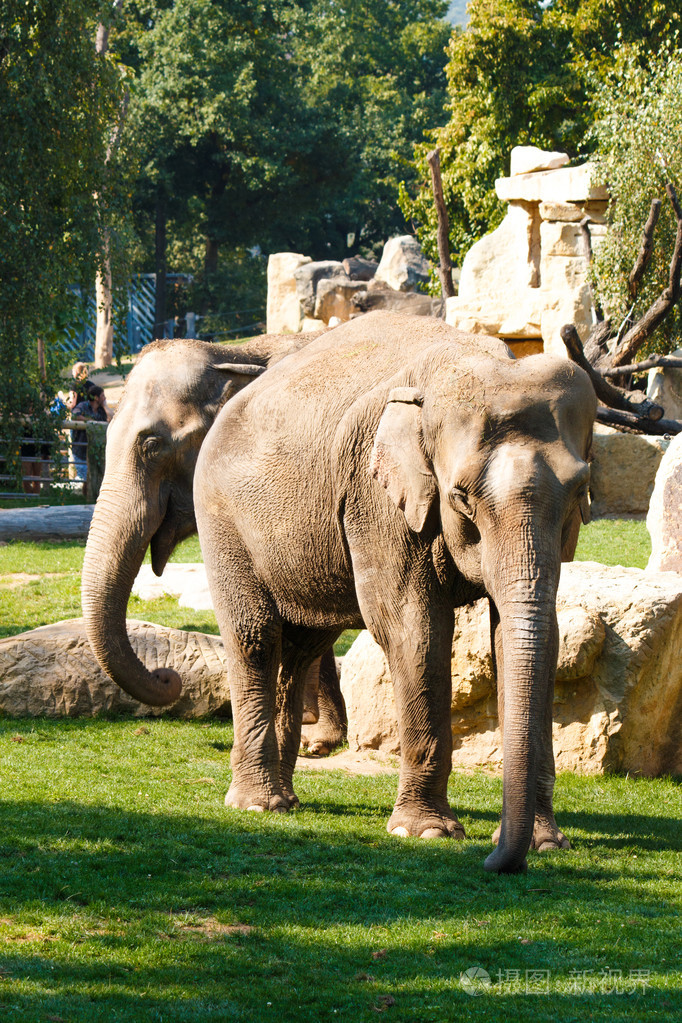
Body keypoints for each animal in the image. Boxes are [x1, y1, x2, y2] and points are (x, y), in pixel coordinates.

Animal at [191, 311, 596, 874]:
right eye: (460, 497)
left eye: (580, 491)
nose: (493, 859)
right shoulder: (374, 497)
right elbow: (413, 630)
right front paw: (424, 833)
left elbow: (533, 635)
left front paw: (547, 843)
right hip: (221, 517)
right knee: (255, 637)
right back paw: (257, 804)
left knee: (302, 645)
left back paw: (286, 799)